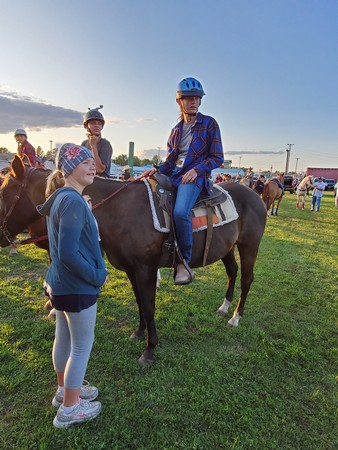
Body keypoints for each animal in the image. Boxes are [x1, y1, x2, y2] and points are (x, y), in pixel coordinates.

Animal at [0, 158, 266, 366]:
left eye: (3, 193)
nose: (2, 237)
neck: (119, 209)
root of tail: (256, 196)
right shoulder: (131, 270)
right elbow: (139, 302)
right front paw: (139, 333)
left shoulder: (145, 269)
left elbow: (148, 306)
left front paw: (149, 350)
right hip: (227, 247)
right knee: (232, 272)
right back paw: (224, 308)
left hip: (249, 246)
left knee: (246, 278)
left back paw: (235, 317)